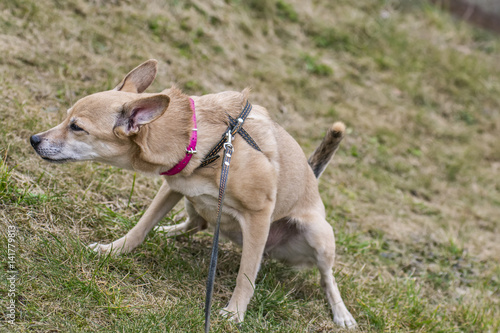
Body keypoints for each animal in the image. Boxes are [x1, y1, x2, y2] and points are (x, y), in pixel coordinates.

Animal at [31, 59, 358, 326]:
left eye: (77, 127)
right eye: (66, 118)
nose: (34, 139)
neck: (205, 140)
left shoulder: (258, 215)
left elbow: (246, 275)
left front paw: (235, 312)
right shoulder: (173, 188)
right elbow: (139, 228)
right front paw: (113, 249)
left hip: (317, 234)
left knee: (327, 277)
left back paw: (341, 313)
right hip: (193, 204)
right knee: (196, 223)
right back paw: (166, 231)